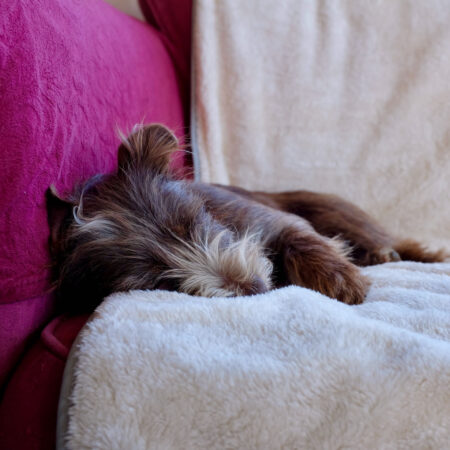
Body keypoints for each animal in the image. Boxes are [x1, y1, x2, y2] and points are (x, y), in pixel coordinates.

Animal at [46, 123, 446, 312]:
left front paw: (344, 282)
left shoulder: (270, 220)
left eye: (193, 222)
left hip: (336, 212)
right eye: (159, 280)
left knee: (392, 240)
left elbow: (301, 238)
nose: (252, 285)